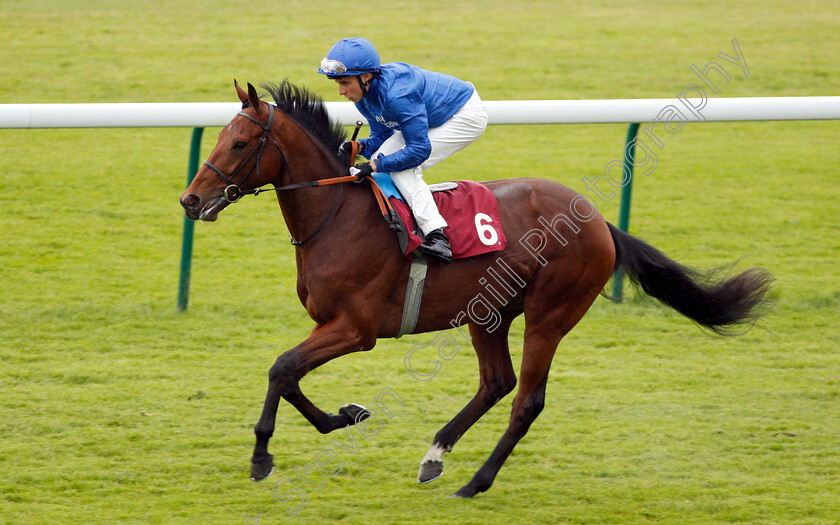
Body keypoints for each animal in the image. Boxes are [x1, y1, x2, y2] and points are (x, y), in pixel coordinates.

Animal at [179, 80, 776, 498]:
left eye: (239, 142)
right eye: (218, 137)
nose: (190, 200)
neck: (338, 215)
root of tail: (599, 221)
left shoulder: (356, 329)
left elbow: (281, 368)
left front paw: (262, 457)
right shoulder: (332, 325)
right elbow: (291, 376)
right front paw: (346, 416)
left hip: (550, 313)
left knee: (527, 399)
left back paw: (477, 481)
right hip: (488, 312)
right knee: (497, 382)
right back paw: (435, 456)